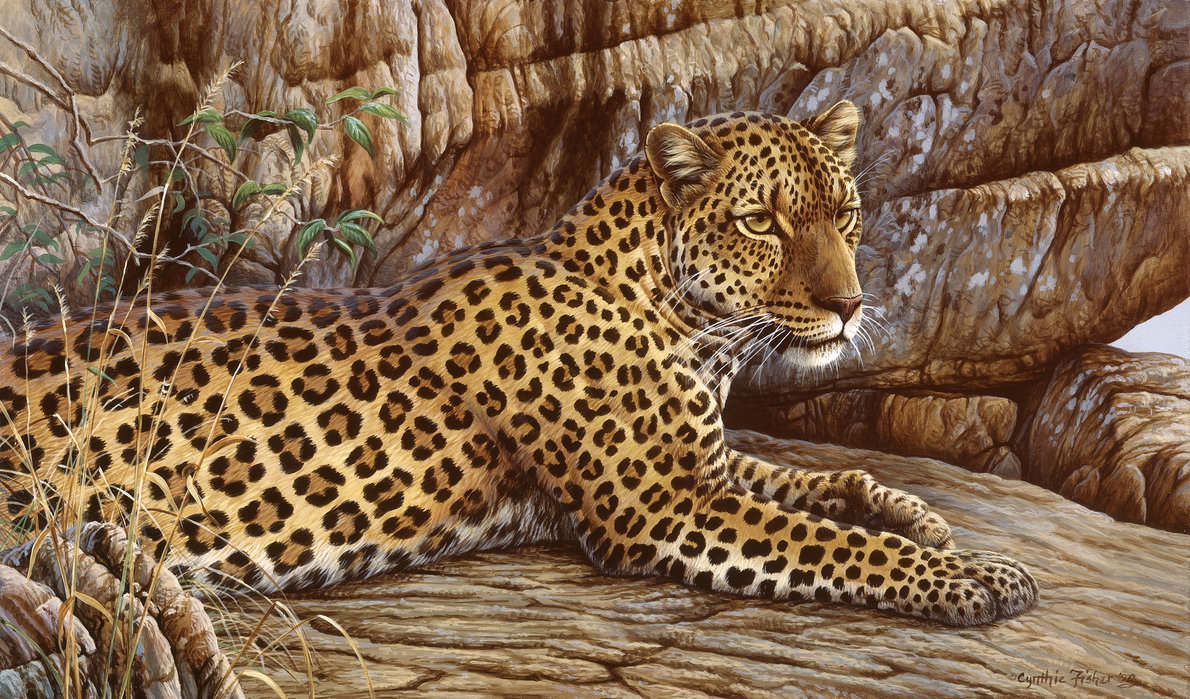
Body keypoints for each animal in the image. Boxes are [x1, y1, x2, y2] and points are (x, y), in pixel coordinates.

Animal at [0, 101, 1037, 626]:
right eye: (761, 223)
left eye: (844, 213)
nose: (850, 305)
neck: (702, 336)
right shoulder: (658, 506)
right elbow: (827, 540)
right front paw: (974, 579)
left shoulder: (696, 469)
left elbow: (814, 482)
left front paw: (920, 517)